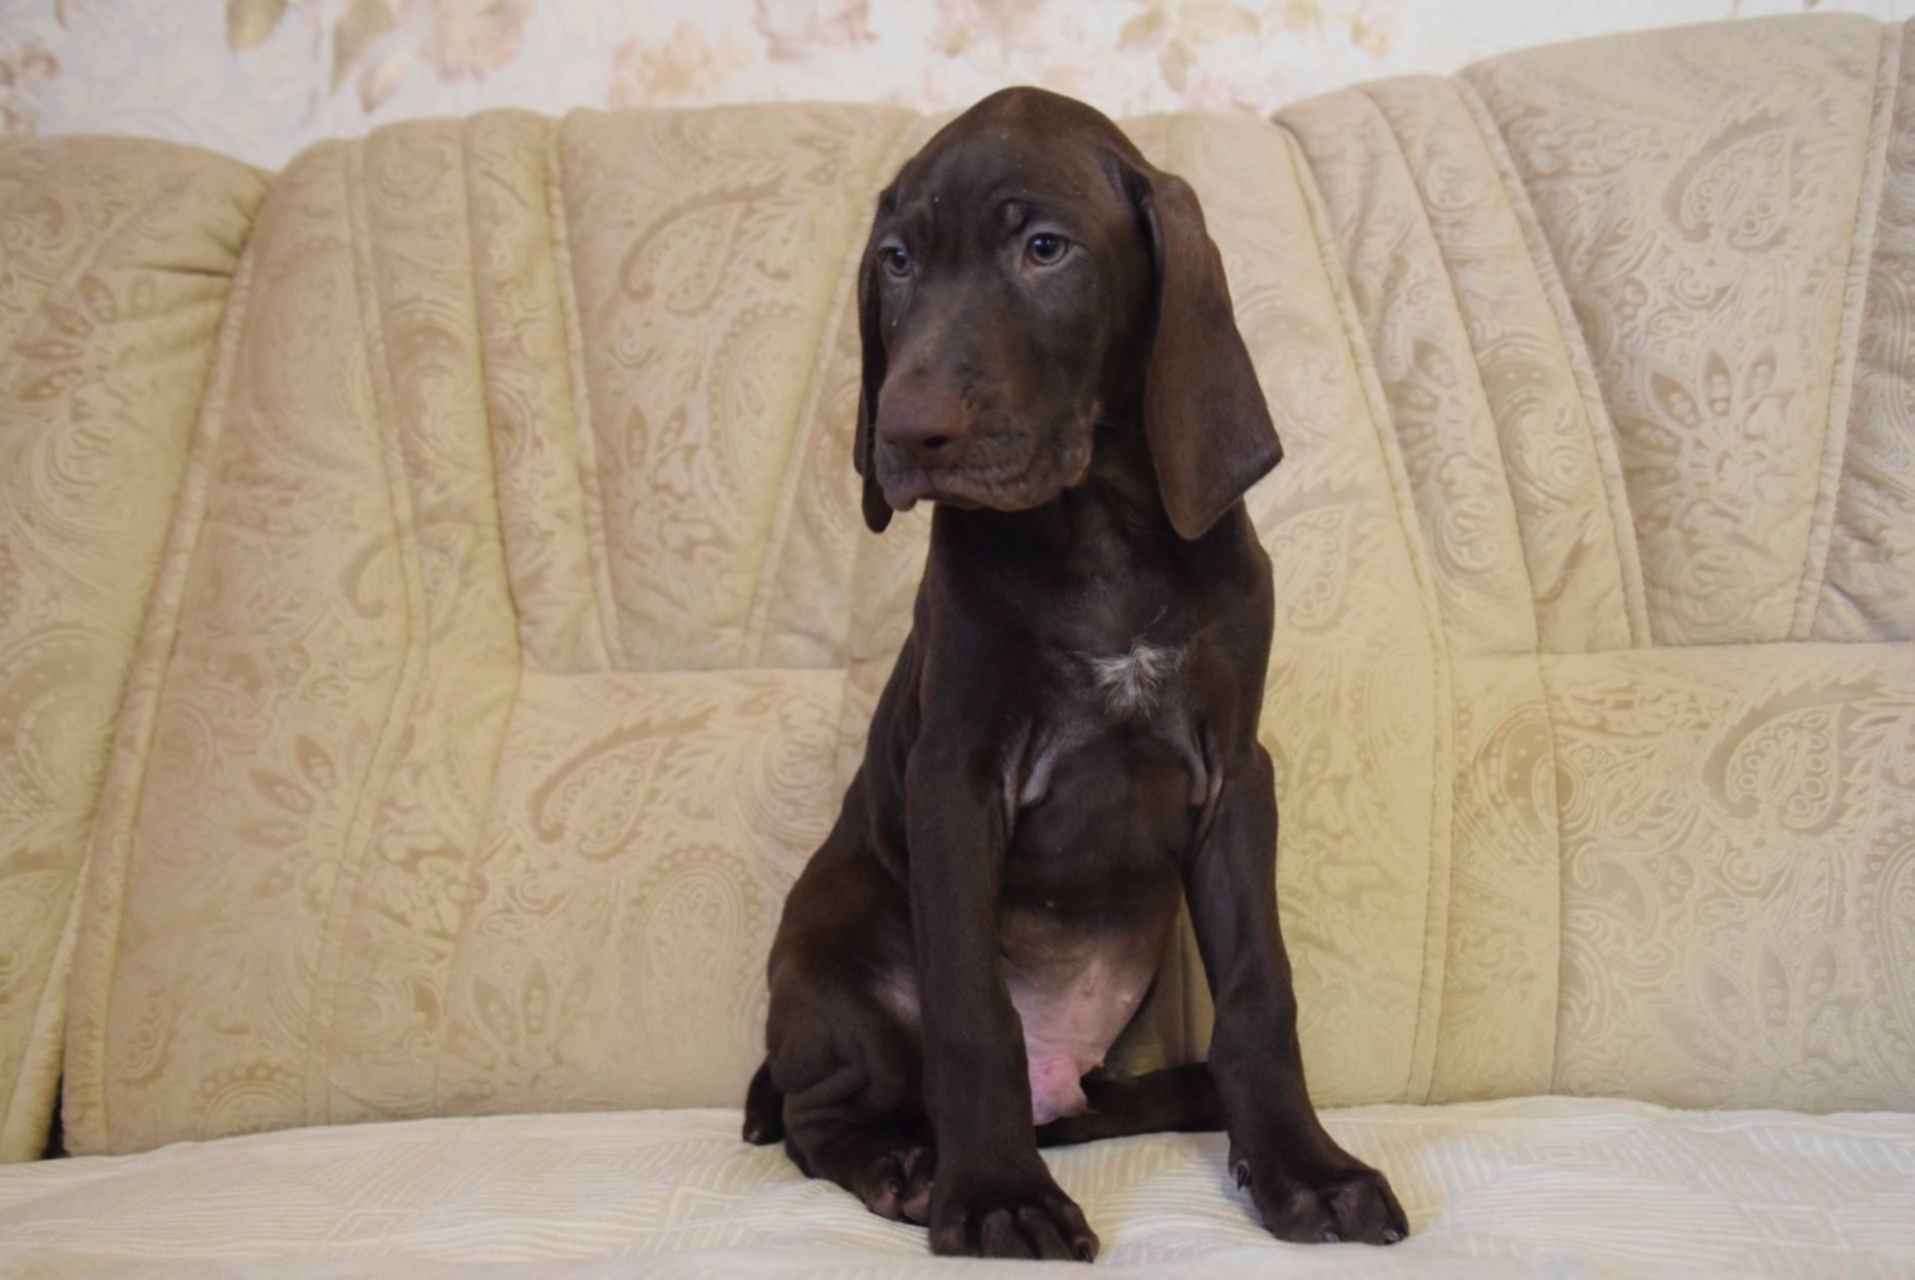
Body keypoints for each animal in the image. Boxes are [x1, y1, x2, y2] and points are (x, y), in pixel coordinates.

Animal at [741, 87, 1408, 1261]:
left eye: (1044, 249)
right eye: (898, 261)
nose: (903, 431)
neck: (1098, 525)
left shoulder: (1236, 775)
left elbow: (1260, 990)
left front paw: (1302, 1165)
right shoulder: (955, 777)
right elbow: (972, 1012)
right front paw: (995, 1195)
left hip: (1092, 1070)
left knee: (1117, 1096)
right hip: (830, 950)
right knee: (827, 1117)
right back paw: (908, 1163)